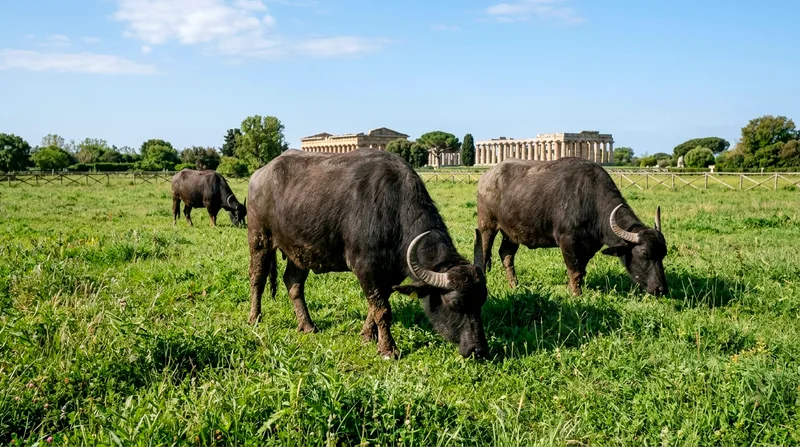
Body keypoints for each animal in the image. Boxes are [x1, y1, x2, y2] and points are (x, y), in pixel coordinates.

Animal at [246, 149, 489, 359]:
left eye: (482, 301)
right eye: (455, 304)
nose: (478, 350)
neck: (393, 208)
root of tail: (259, 174)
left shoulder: (390, 275)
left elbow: (376, 307)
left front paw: (367, 335)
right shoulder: (365, 268)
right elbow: (382, 310)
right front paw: (388, 349)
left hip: (299, 251)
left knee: (293, 283)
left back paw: (307, 325)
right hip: (259, 239)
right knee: (257, 278)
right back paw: (254, 318)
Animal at [476, 157, 668, 296]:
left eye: (663, 254)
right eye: (644, 254)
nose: (661, 289)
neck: (591, 200)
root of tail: (486, 178)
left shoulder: (589, 246)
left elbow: (581, 270)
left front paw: (571, 289)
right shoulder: (567, 241)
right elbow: (574, 270)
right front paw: (576, 295)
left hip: (511, 233)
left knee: (506, 255)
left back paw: (514, 285)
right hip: (487, 226)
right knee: (484, 255)